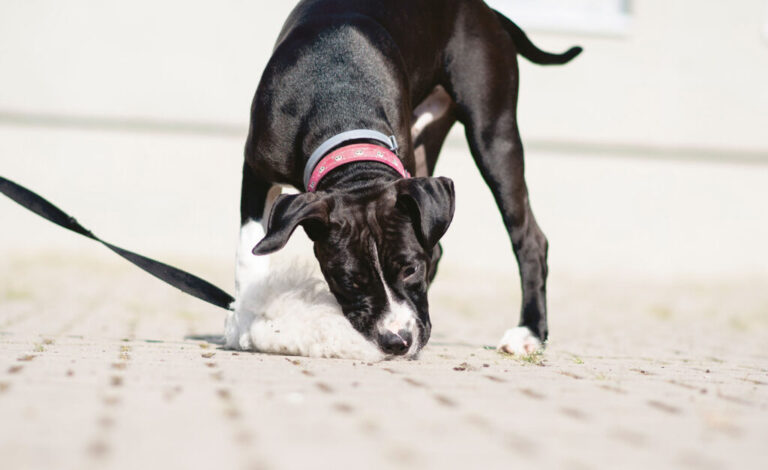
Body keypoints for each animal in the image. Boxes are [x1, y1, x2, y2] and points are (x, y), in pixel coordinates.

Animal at [225, 0, 580, 358]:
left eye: (410, 269)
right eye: (348, 281)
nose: (397, 341)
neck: (338, 105)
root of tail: (485, 10)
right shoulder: (256, 171)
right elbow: (248, 254)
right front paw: (244, 322)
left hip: (494, 133)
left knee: (529, 237)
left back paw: (529, 332)